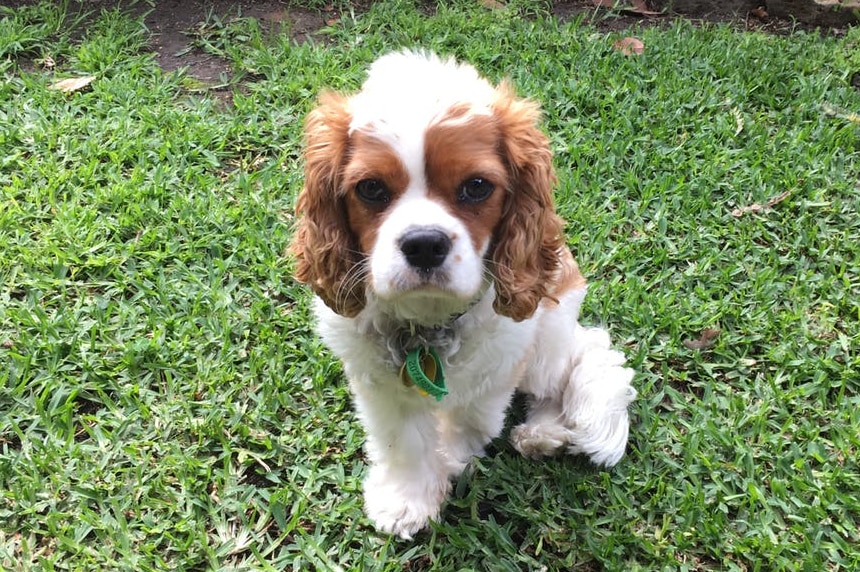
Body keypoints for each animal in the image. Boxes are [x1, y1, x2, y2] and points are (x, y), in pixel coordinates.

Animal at [292, 49, 636, 536]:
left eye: (476, 186)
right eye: (371, 188)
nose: (424, 244)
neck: (429, 321)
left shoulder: (500, 362)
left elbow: (467, 424)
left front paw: (449, 464)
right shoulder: (377, 380)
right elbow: (404, 440)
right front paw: (407, 497)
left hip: (548, 337)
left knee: (583, 357)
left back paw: (545, 433)